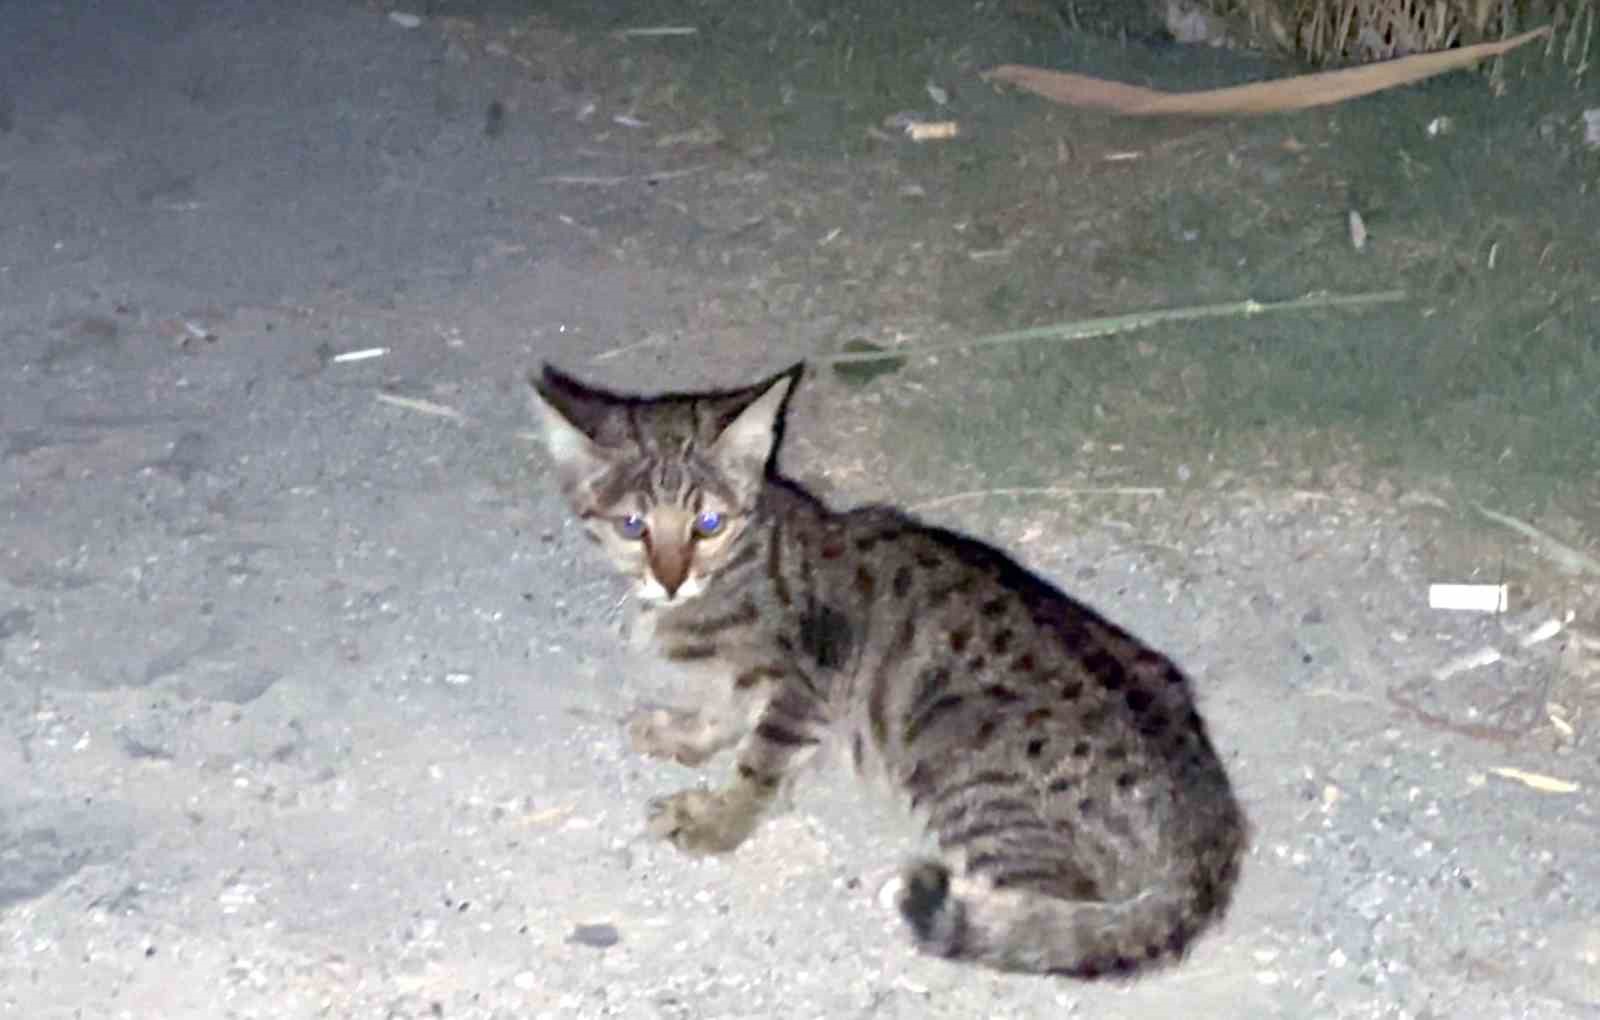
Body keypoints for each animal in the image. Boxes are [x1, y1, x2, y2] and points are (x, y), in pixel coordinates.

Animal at [531, 366, 1241, 984]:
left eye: (708, 523)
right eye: (633, 526)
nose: (670, 579)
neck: (734, 564)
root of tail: (1211, 824)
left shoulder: (804, 686)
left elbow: (759, 765)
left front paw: (718, 821)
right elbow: (724, 713)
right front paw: (683, 733)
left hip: (952, 755)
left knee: (1062, 909)